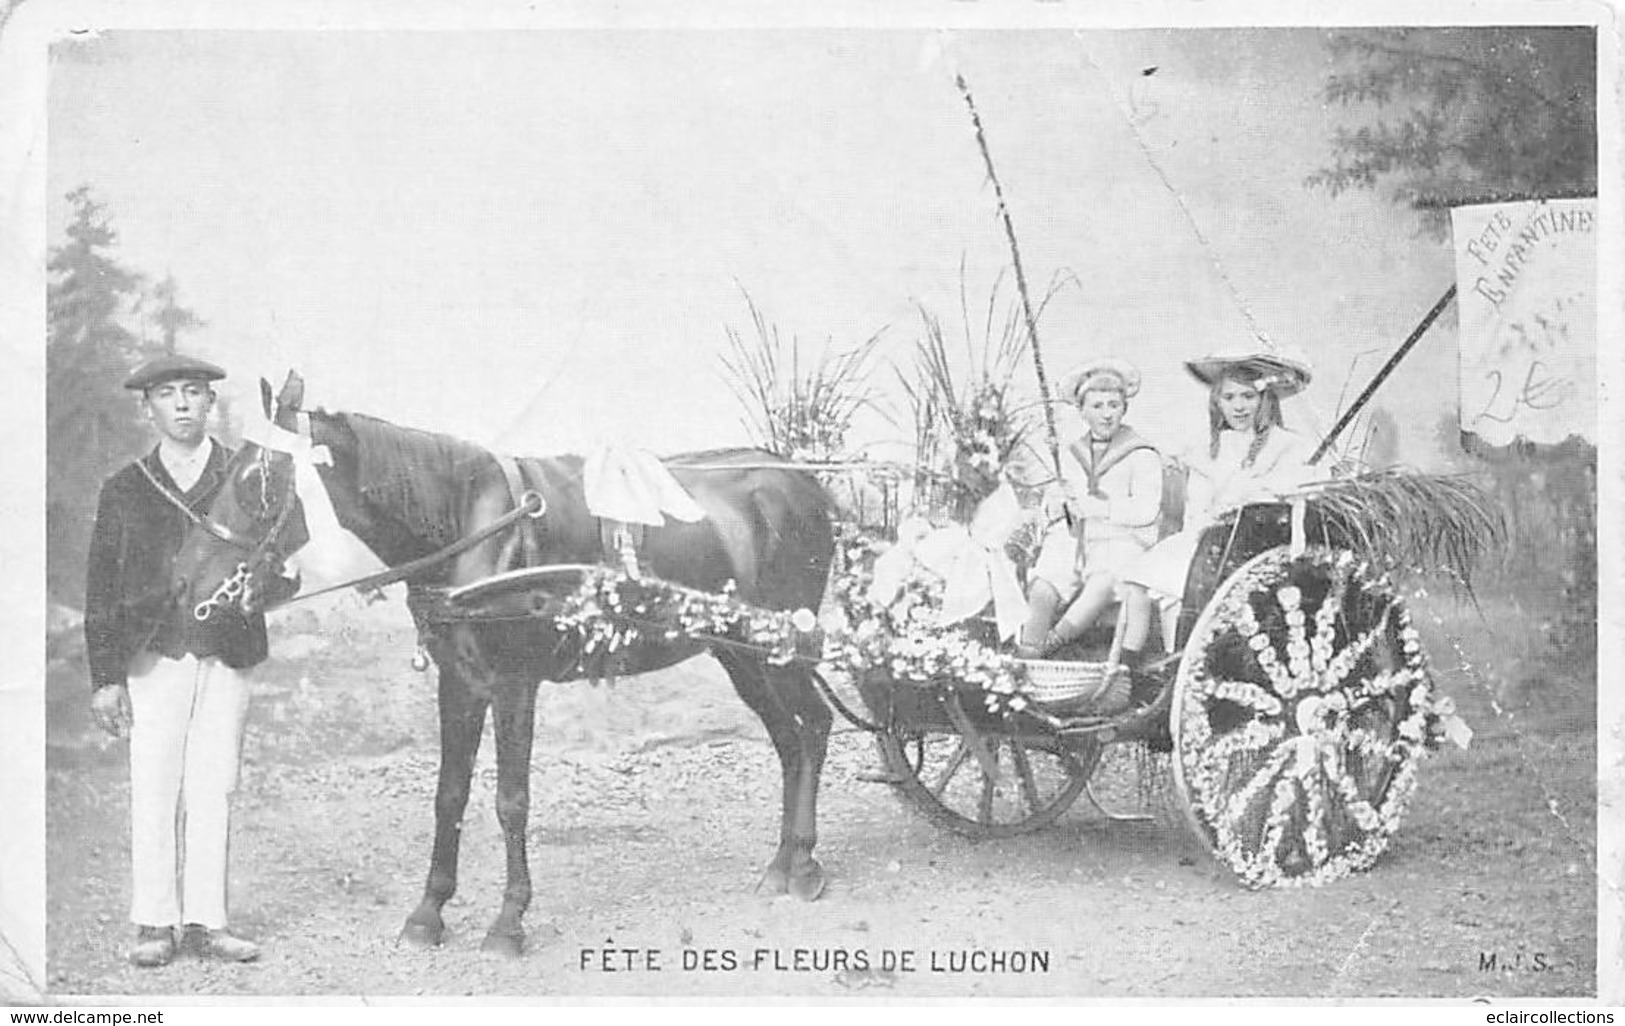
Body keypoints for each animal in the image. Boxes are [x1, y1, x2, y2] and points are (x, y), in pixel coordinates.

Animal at [169, 370, 838, 956]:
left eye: (255, 481)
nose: (184, 583)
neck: (473, 526)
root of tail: (804, 484)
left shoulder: (515, 684)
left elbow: (511, 801)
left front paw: (509, 921)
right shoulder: (459, 682)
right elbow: (450, 795)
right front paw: (428, 913)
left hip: (781, 647)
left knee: (815, 725)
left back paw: (805, 860)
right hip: (740, 655)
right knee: (789, 740)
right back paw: (782, 862)